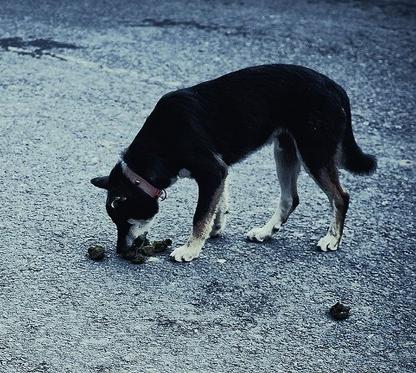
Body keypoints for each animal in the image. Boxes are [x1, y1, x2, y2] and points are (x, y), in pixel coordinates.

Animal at [92, 64, 376, 262]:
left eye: (125, 221)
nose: (120, 251)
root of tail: (335, 87)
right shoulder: (219, 172)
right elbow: (217, 206)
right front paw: (214, 230)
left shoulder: (212, 171)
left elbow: (200, 215)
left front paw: (191, 249)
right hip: (285, 150)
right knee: (290, 198)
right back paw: (265, 232)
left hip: (313, 153)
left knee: (340, 196)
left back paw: (332, 239)